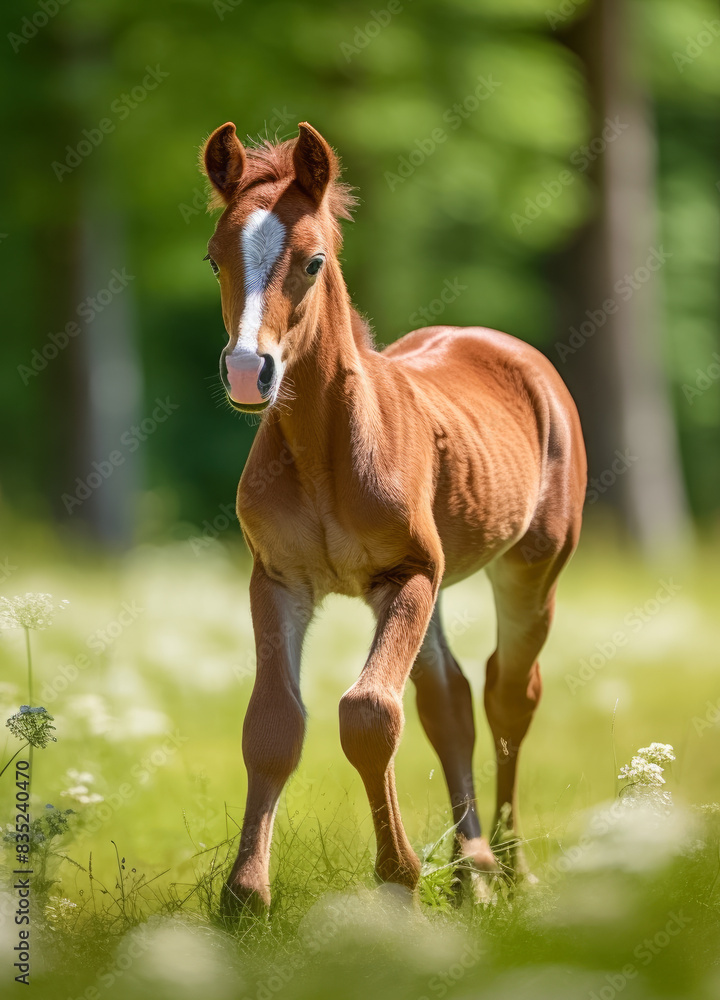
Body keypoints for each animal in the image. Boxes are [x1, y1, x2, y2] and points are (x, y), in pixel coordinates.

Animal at [200, 121, 586, 914]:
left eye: (313, 260)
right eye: (214, 258)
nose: (249, 372)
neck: (324, 451)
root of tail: (501, 343)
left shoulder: (406, 573)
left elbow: (371, 714)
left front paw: (399, 878)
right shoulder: (277, 580)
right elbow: (272, 723)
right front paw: (245, 895)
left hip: (529, 568)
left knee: (509, 693)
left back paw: (512, 865)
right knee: (451, 699)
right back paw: (475, 869)